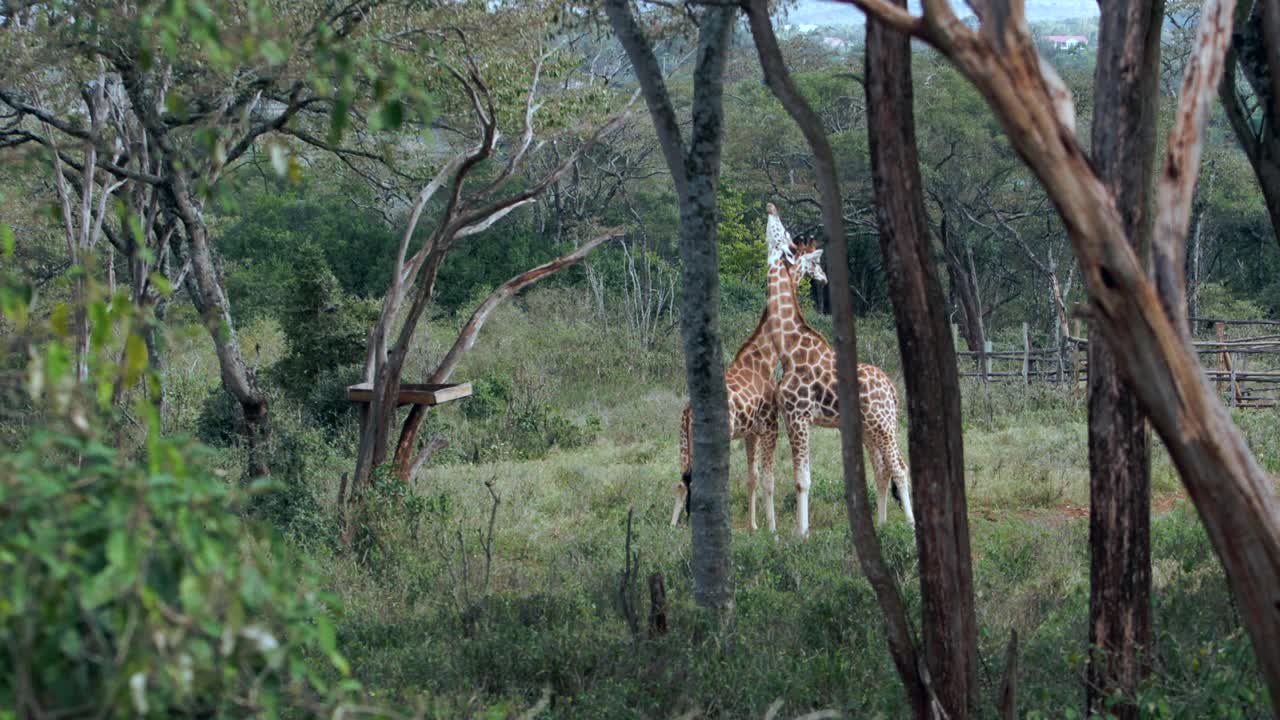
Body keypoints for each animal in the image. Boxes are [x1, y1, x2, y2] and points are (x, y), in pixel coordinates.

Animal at [670, 243, 829, 530]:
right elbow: (769, 479)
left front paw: (754, 527)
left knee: (681, 482)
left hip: (683, 442)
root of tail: (688, 412)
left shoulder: (750, 433)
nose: (824, 279)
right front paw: (772, 529)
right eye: (815, 262)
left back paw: (673, 528)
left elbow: (752, 478)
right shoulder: (770, 426)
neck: (765, 357)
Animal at [757, 202, 911, 532]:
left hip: (882, 423)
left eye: (781, 231)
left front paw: (802, 533)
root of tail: (892, 390)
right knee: (883, 470)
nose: (771, 207)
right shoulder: (790, 418)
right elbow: (798, 477)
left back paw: (910, 524)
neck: (789, 348)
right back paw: (882, 524)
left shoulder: (799, 416)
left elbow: (803, 480)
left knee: (900, 467)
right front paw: (797, 530)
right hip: (871, 427)